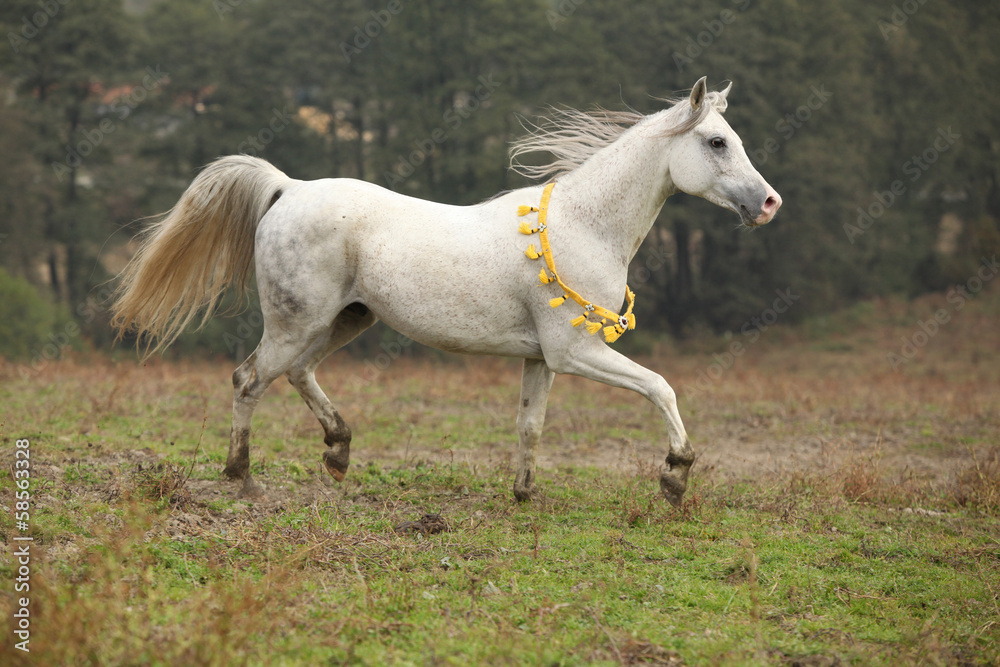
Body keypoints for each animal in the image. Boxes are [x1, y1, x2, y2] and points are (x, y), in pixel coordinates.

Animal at [111, 78, 780, 504]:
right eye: (717, 142)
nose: (769, 203)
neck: (584, 225)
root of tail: (288, 187)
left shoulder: (543, 358)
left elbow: (530, 424)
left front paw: (523, 494)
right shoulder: (577, 352)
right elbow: (661, 387)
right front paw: (675, 477)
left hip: (347, 319)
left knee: (296, 374)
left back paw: (338, 451)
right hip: (297, 321)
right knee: (249, 379)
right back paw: (243, 478)